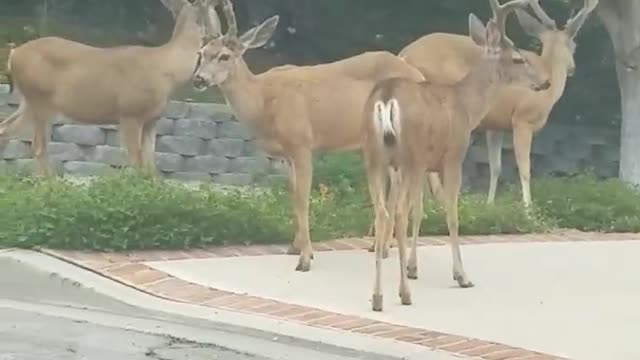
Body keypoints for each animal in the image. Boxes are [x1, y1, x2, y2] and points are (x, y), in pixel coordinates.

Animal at [0, 0, 215, 174]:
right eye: (215, 9)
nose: (216, 34)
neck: (168, 70)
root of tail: (14, 54)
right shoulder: (130, 114)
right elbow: (136, 160)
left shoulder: (151, 120)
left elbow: (149, 164)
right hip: (41, 100)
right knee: (37, 146)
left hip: (28, 101)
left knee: (6, 129)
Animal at [190, 0, 430, 272]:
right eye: (201, 53)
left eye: (225, 56)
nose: (199, 79)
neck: (263, 99)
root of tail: (421, 75)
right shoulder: (287, 154)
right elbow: (293, 194)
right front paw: (295, 247)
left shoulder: (302, 143)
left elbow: (303, 198)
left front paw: (304, 258)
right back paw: (379, 246)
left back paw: (391, 252)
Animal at [362, 0, 548, 310]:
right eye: (518, 59)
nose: (544, 82)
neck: (467, 106)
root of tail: (386, 99)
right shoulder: (452, 158)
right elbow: (450, 213)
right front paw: (461, 276)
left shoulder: (426, 166)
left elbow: (420, 212)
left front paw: (413, 267)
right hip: (408, 156)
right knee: (397, 213)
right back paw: (404, 294)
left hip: (376, 158)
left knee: (382, 213)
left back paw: (377, 298)